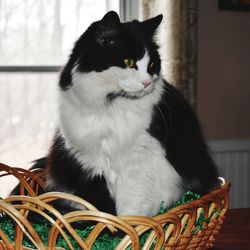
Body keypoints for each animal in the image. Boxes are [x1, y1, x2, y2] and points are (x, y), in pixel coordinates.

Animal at [35, 10, 219, 216]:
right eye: (128, 62)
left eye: (152, 65)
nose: (147, 83)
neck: (111, 106)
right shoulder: (90, 165)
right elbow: (100, 207)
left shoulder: (140, 161)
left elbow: (131, 208)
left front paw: (128, 224)